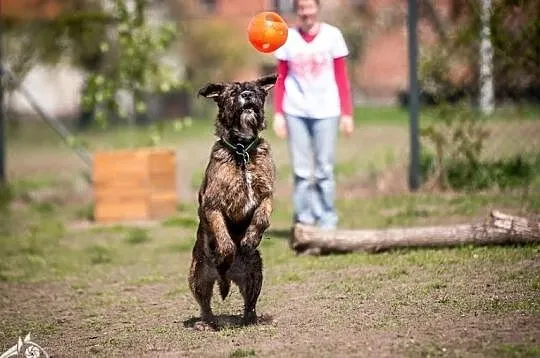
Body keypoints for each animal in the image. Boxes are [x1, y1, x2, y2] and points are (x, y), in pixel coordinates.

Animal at [187, 74, 278, 332]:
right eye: (232, 93)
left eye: (256, 91)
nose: (247, 95)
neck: (241, 151)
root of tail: (226, 277)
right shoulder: (212, 205)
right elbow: (223, 236)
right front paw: (226, 253)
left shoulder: (266, 195)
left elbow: (261, 217)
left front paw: (249, 239)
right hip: (198, 277)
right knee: (205, 305)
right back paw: (206, 323)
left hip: (255, 272)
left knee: (250, 304)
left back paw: (253, 320)